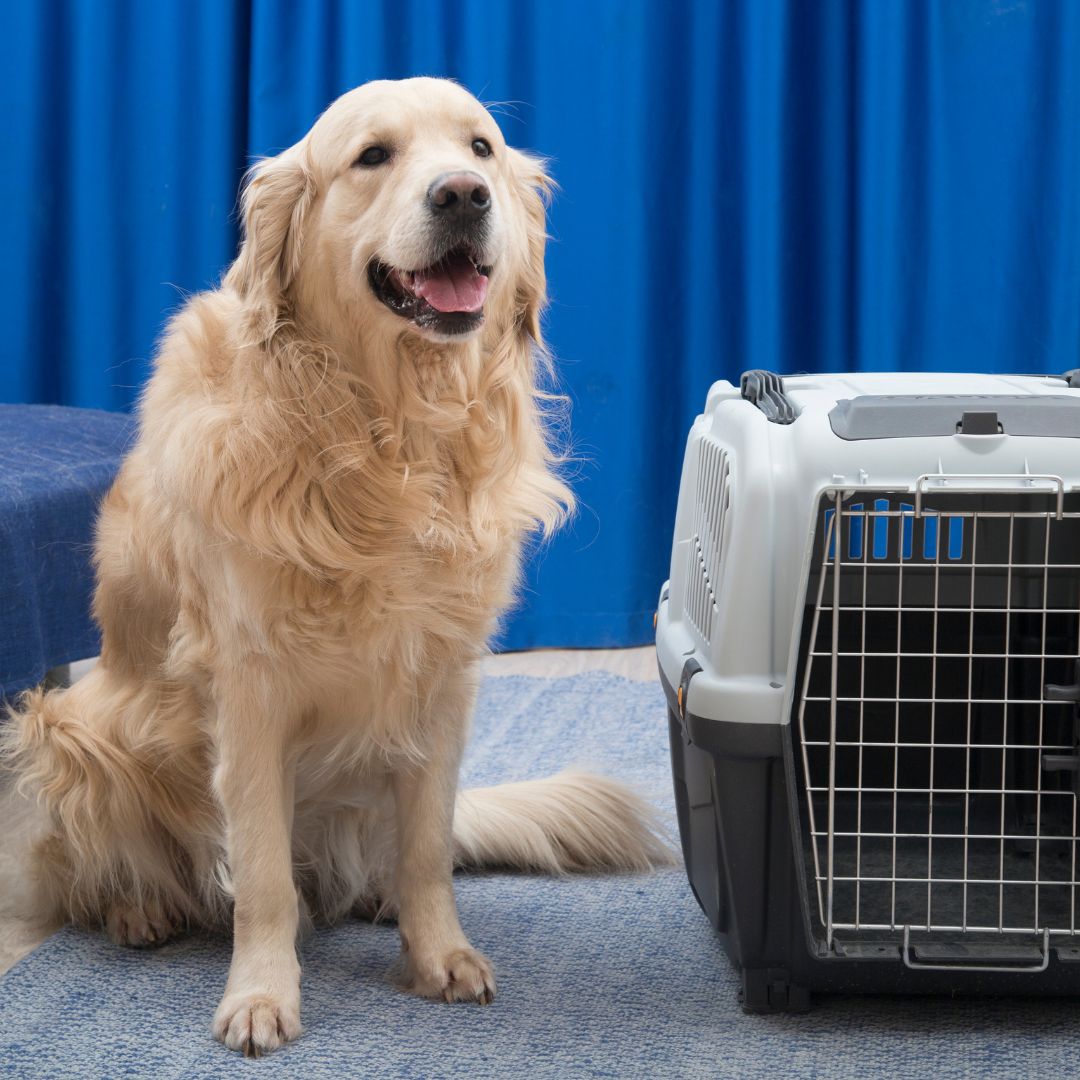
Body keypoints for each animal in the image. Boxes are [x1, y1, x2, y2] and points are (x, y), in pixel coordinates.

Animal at [0, 79, 665, 1058]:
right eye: (372, 156)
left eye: (480, 146)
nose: (464, 195)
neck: (389, 434)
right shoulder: (249, 688)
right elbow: (263, 876)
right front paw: (260, 995)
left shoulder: (444, 679)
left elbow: (426, 850)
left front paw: (439, 954)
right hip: (75, 731)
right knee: (101, 870)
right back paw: (138, 909)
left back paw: (378, 898)